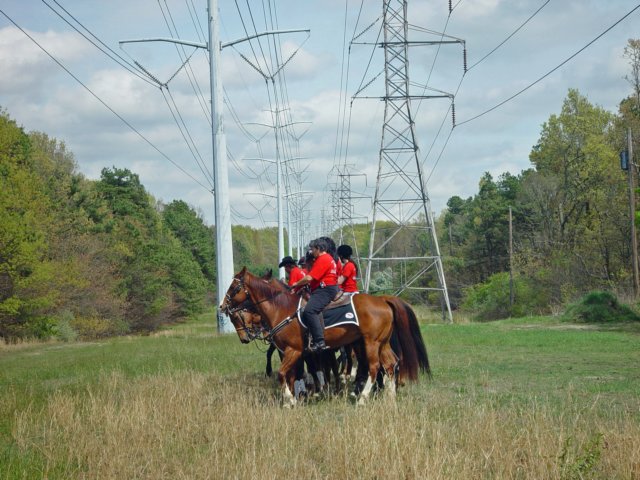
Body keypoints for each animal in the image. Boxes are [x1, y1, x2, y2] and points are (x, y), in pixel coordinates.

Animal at [220, 266, 430, 404]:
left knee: (373, 367)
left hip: (370, 343)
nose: (222, 306)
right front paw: (295, 397)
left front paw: (290, 399)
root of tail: (383, 300)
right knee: (390, 364)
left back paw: (362, 397)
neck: (281, 308)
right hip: (382, 343)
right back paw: (389, 395)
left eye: (233, 287)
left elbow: (284, 373)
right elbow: (292, 374)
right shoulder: (295, 352)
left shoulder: (294, 350)